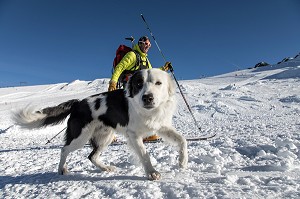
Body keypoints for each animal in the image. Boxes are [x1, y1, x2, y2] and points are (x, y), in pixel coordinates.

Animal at [14, 68, 189, 180]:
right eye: (139, 84)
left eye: (158, 83)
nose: (147, 98)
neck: (148, 111)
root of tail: (77, 103)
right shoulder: (134, 135)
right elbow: (144, 154)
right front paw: (152, 173)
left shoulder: (161, 126)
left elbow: (182, 140)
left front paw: (182, 162)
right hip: (81, 137)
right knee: (64, 150)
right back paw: (61, 169)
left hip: (105, 137)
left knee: (92, 156)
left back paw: (106, 168)